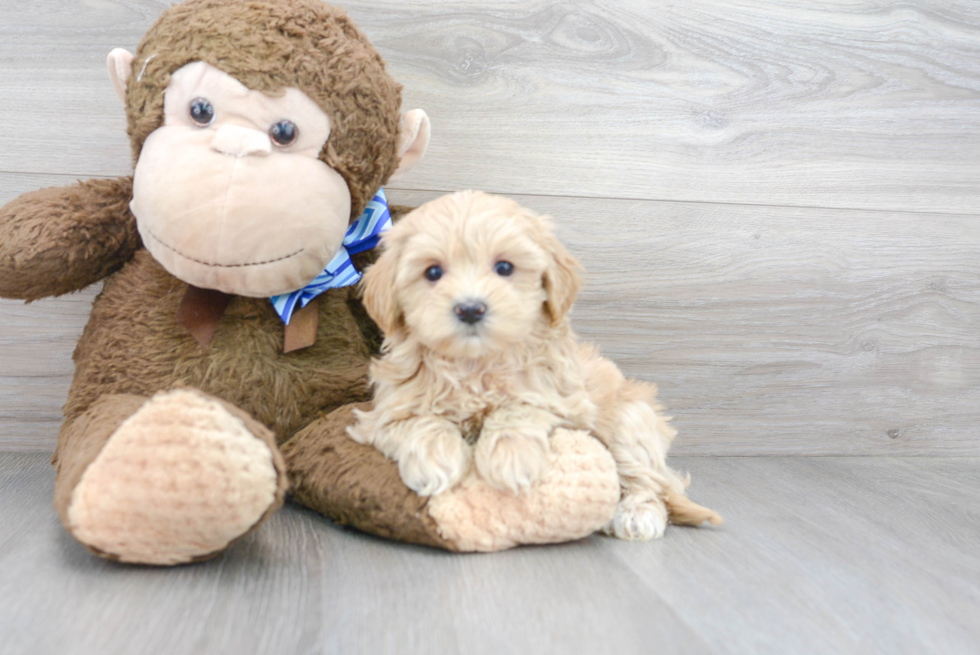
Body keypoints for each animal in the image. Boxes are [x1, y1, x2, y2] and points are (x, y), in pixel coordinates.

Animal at [346, 188, 720, 540]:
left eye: (504, 268)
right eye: (433, 272)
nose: (471, 308)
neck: (476, 365)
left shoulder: (567, 403)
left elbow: (520, 407)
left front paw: (510, 457)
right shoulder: (386, 412)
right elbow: (421, 422)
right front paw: (436, 459)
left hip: (629, 423)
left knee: (648, 480)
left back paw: (637, 514)